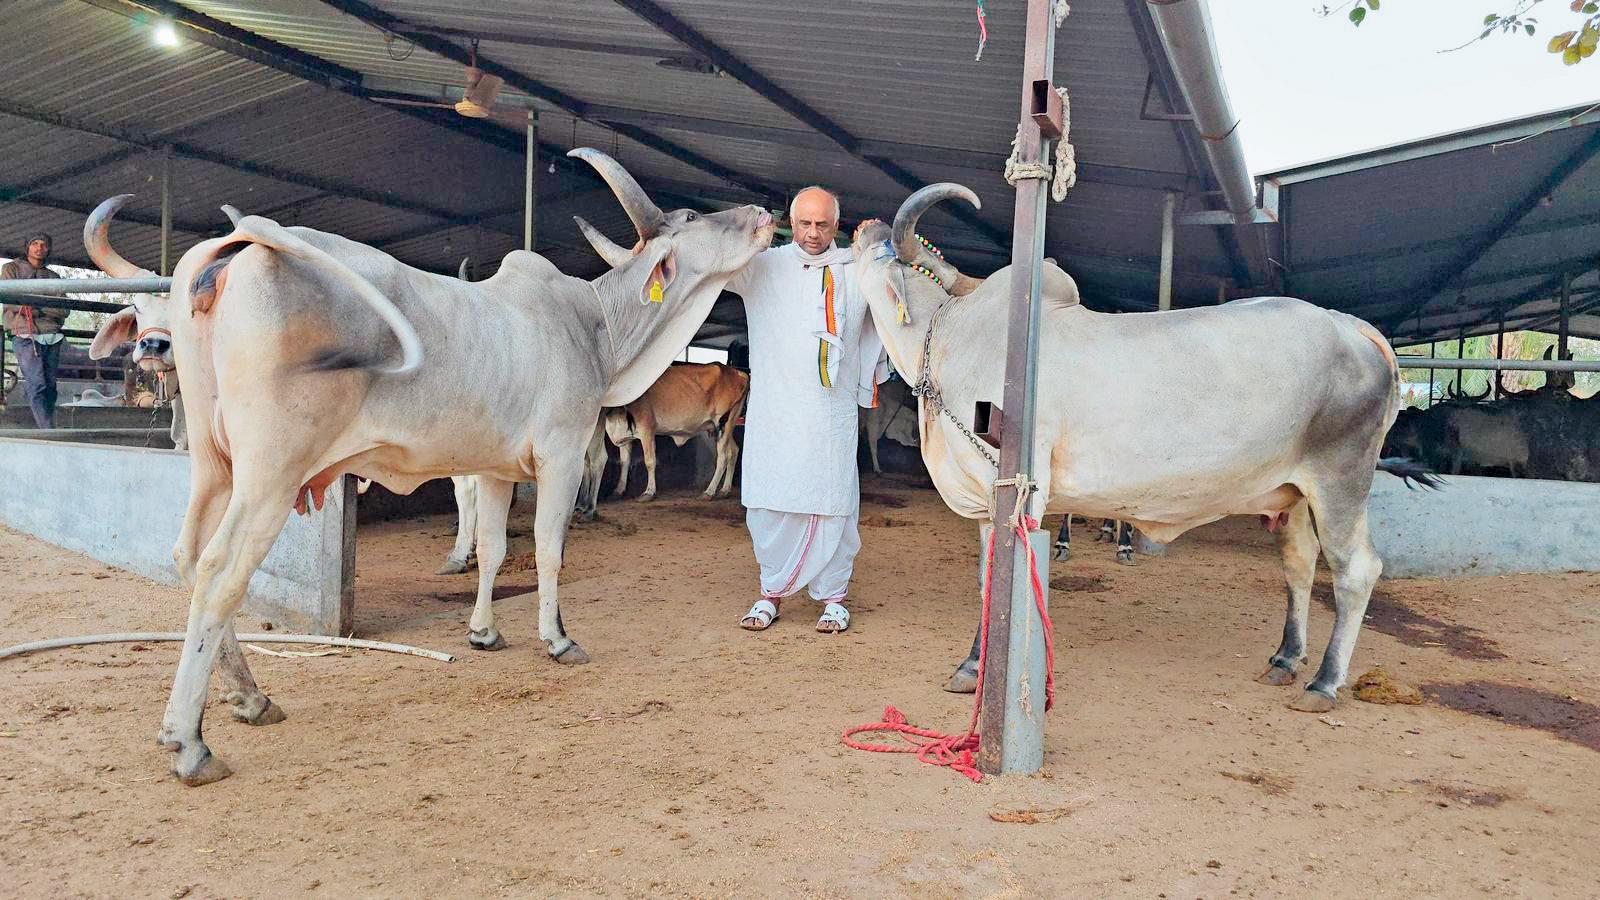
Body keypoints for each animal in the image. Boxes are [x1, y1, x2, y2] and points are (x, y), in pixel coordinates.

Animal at [603, 361, 748, 501]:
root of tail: (738, 373)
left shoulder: (647, 430)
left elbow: (650, 461)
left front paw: (649, 492)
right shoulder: (625, 436)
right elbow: (624, 462)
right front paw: (618, 490)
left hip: (724, 423)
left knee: (724, 456)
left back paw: (709, 492)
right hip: (724, 426)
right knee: (734, 451)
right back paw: (724, 490)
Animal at [849, 184, 1440, 713]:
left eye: (879, 251)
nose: (862, 225)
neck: (950, 336)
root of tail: (1353, 327)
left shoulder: (1019, 485)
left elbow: (1006, 577)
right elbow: (985, 578)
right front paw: (974, 666)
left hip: (1341, 479)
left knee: (1354, 570)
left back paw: (1324, 682)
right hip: (1293, 492)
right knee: (1299, 565)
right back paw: (1285, 660)